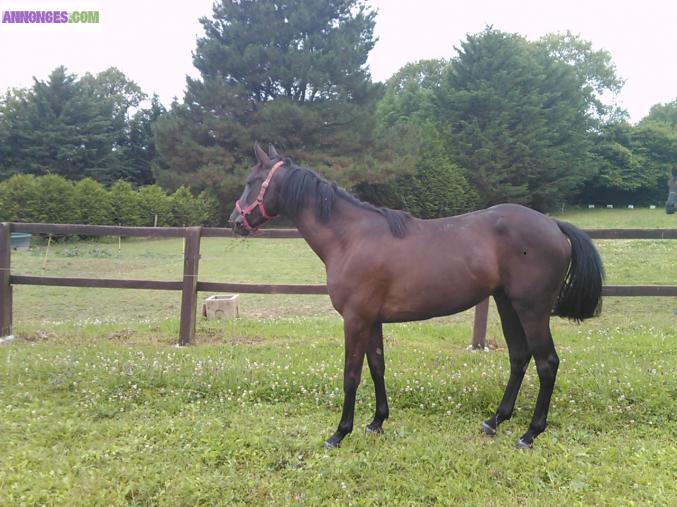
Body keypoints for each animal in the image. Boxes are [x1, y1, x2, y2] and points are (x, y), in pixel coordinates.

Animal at [229, 144, 604, 449]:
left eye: (250, 181)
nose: (234, 221)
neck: (350, 238)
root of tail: (553, 225)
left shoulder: (355, 320)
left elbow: (351, 376)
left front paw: (339, 433)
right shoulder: (372, 320)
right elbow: (377, 367)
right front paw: (376, 422)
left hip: (532, 310)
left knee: (547, 363)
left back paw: (530, 434)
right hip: (507, 304)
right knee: (519, 357)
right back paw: (495, 420)